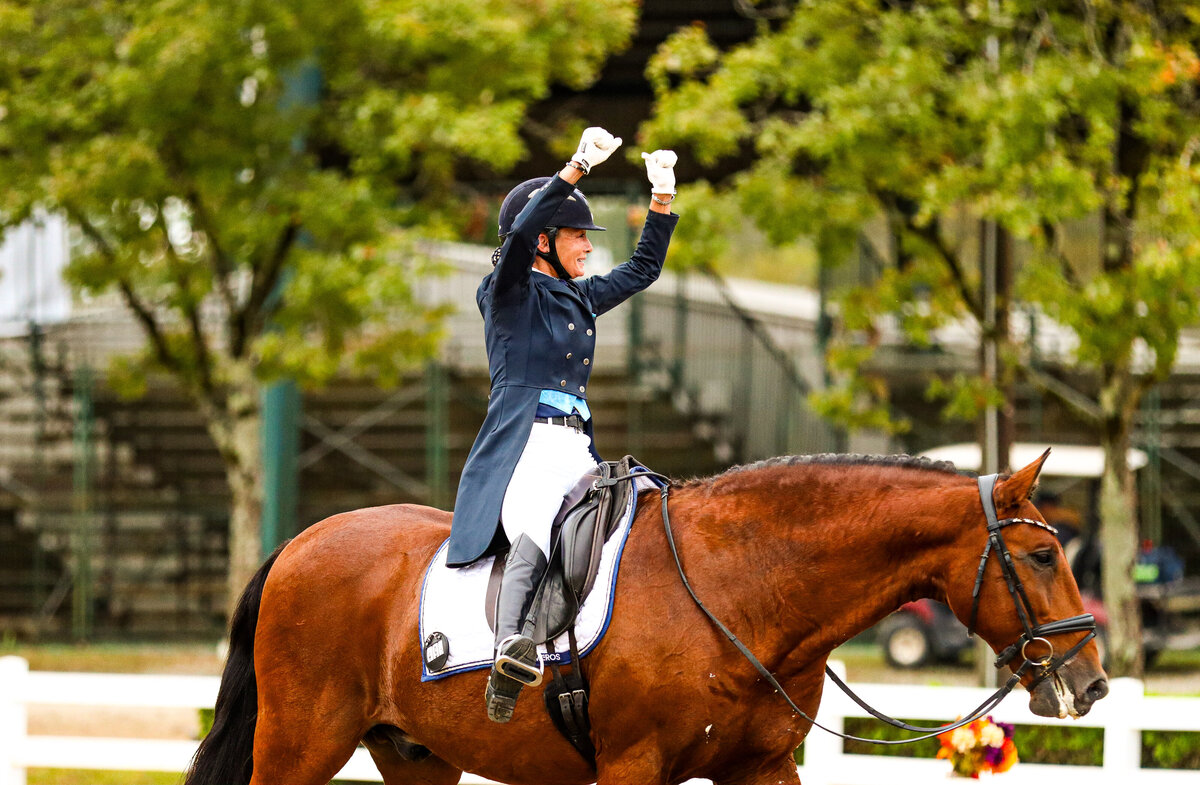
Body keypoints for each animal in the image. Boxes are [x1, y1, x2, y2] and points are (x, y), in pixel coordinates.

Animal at [185, 451, 1108, 785]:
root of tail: (300, 543)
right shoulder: (632, 767)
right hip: (301, 745)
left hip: (417, 757)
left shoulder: (759, 769)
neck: (740, 590)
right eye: (1040, 555)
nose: (1092, 681)